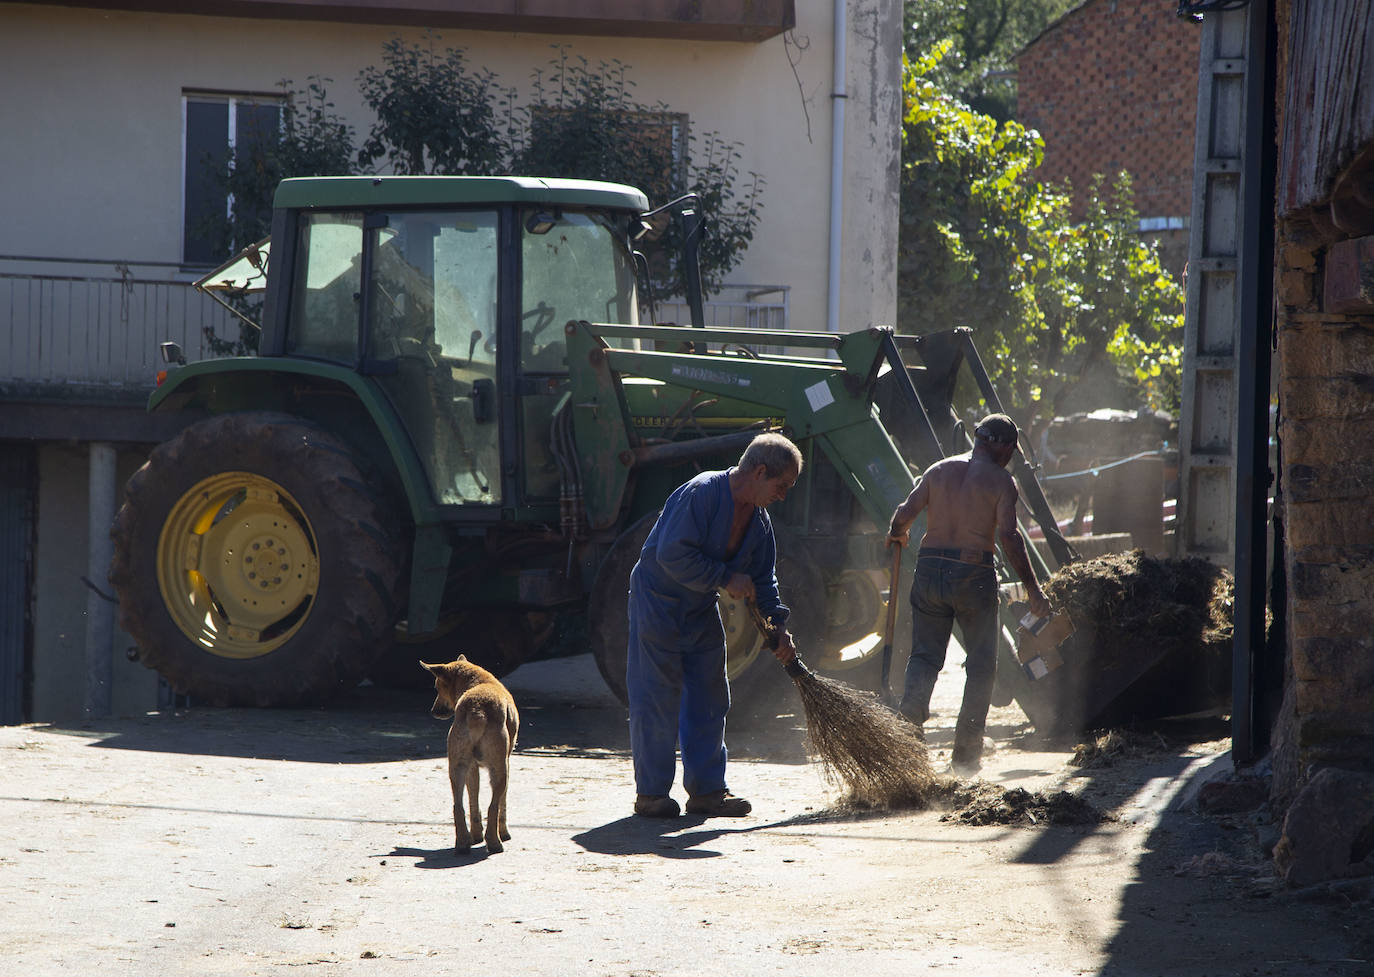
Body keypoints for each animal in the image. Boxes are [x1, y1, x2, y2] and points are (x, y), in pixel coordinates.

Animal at [417, 656, 519, 857]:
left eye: (437, 687)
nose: (433, 711)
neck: (478, 681)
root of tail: (477, 710)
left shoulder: (472, 767)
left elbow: (473, 799)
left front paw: (476, 835)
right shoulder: (507, 762)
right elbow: (502, 802)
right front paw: (504, 833)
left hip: (456, 766)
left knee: (458, 805)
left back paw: (463, 843)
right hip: (499, 768)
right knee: (494, 805)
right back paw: (495, 843)